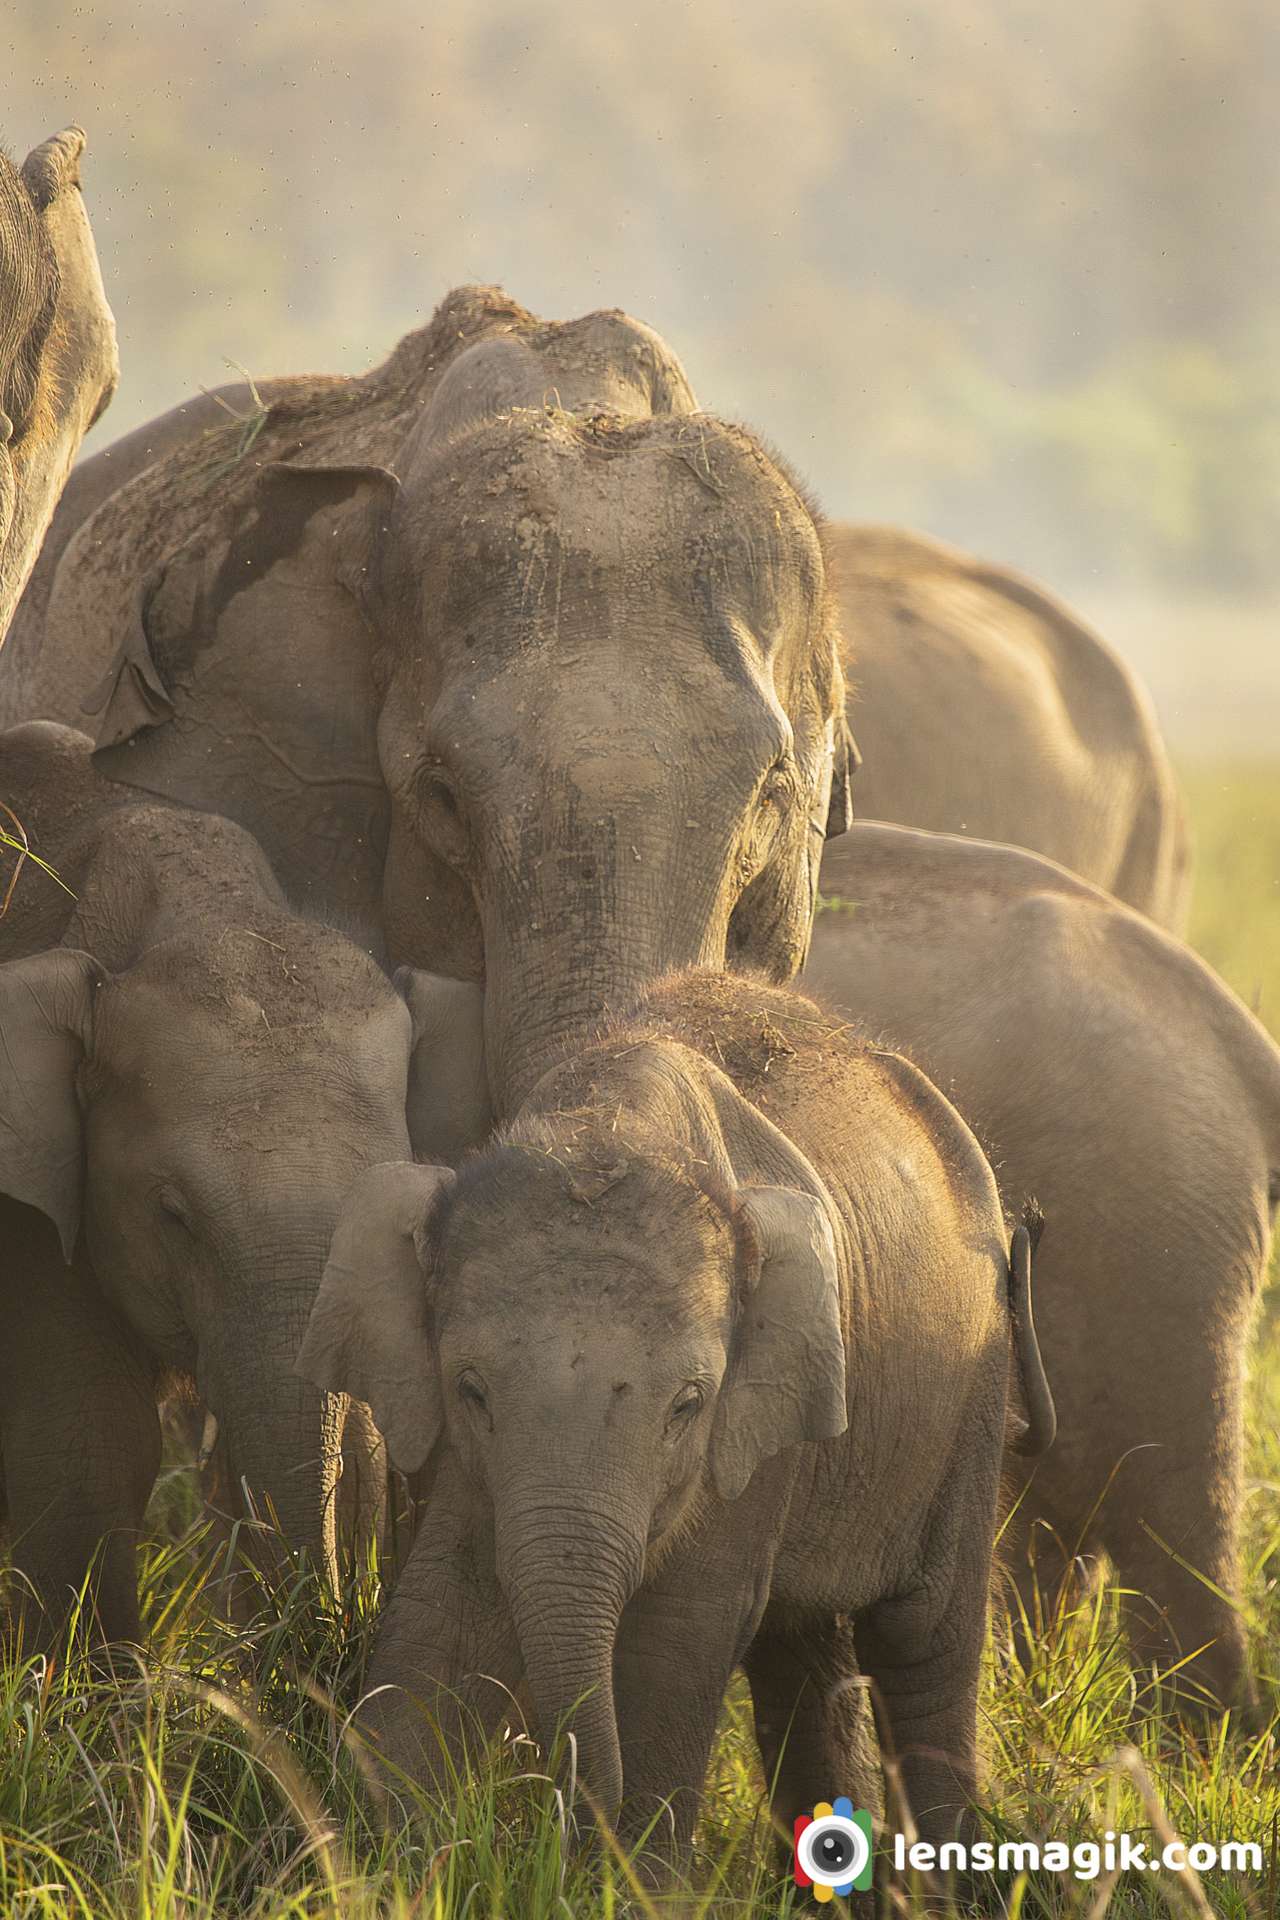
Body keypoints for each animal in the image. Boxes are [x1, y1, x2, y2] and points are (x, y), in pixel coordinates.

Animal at [305, 967, 1059, 1866]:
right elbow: (443, 1611)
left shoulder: (758, 1417)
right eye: (472, 1391)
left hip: (971, 1395)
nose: (552, 1818)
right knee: (801, 1650)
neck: (611, 1121)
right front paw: (376, 1849)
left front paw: (625, 1874)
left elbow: (678, 1640)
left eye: (687, 1404)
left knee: (922, 1641)